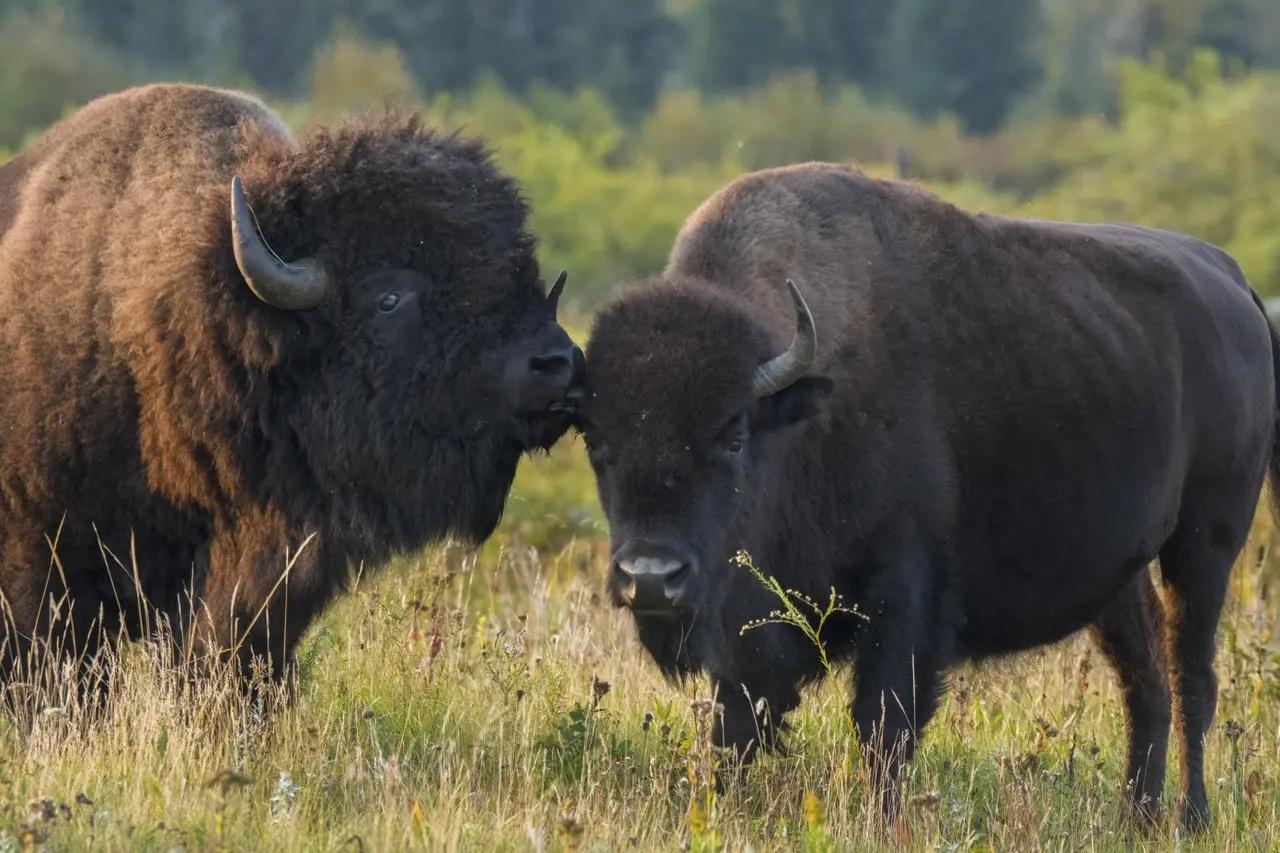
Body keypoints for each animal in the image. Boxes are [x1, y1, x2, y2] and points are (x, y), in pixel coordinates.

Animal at [577, 162, 1278, 830]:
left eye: (733, 435)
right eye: (595, 437)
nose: (651, 578)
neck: (801, 412)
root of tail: (1233, 283)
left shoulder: (904, 596)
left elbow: (882, 727)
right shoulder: (750, 636)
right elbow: (735, 729)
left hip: (1205, 545)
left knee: (1192, 677)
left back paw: (1190, 820)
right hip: (1121, 573)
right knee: (1146, 678)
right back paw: (1138, 819)